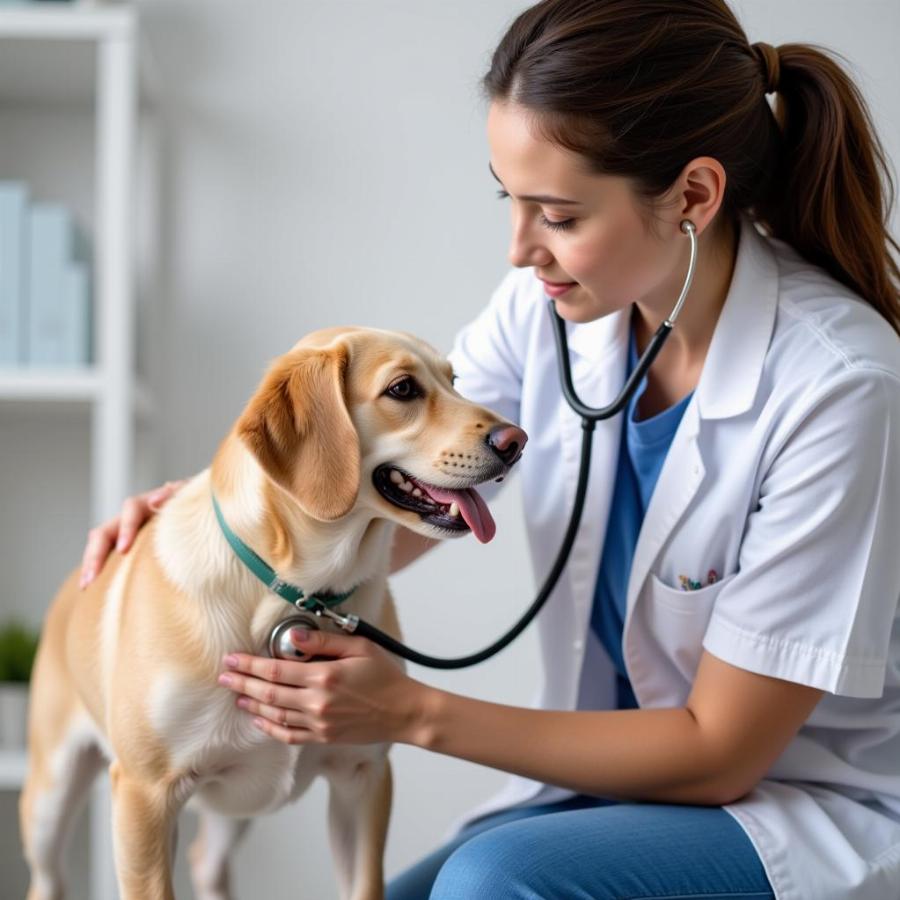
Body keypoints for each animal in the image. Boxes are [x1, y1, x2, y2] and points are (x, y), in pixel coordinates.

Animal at [19, 328, 528, 900]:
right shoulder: (144, 796)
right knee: (49, 877)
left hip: (236, 802)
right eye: (402, 389)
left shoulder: (363, 779)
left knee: (206, 860)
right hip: (51, 798)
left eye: (455, 379)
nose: (517, 440)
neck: (300, 592)